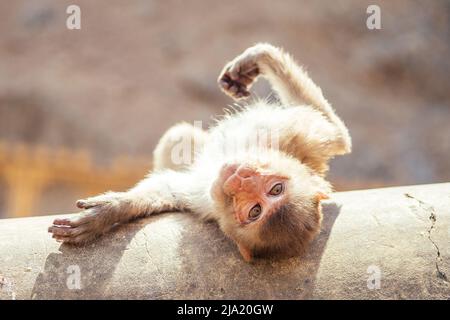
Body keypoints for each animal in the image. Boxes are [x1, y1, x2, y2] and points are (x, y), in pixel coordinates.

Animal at [48, 43, 352, 262]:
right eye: (276, 189)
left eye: (254, 211)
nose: (242, 178)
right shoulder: (301, 139)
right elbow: (338, 139)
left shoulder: (208, 202)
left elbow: (169, 188)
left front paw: (107, 214)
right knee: (178, 137)